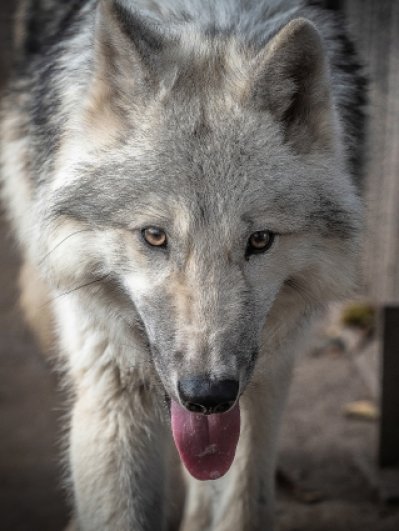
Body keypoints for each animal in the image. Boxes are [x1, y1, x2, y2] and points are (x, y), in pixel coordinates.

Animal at [0, 0, 368, 528]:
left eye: (259, 240)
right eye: (155, 236)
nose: (207, 394)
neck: (209, 19)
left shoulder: (265, 375)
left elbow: (241, 500)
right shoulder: (113, 385)